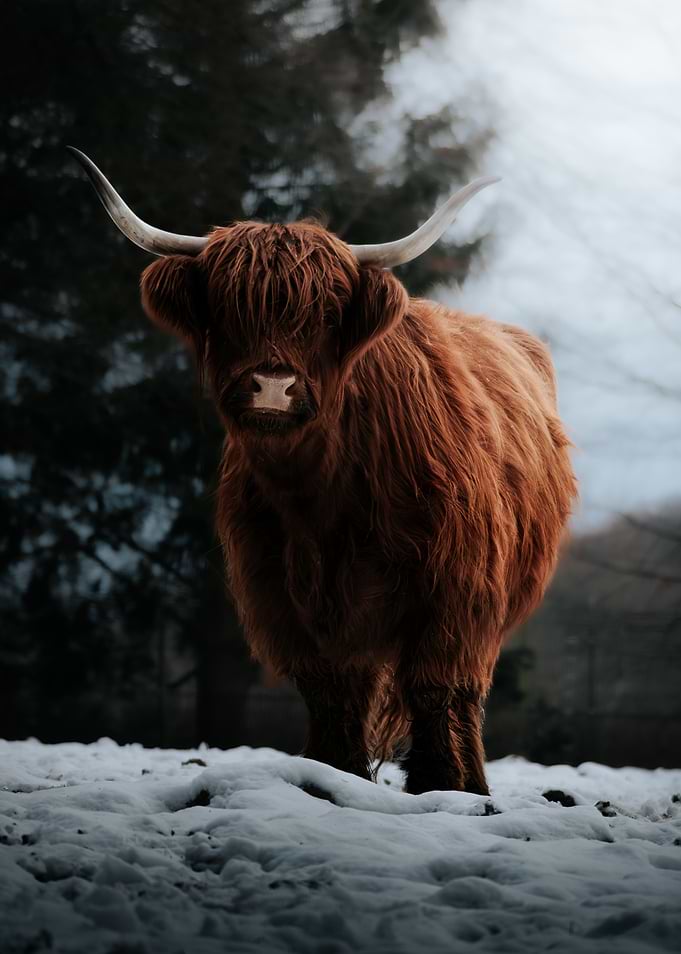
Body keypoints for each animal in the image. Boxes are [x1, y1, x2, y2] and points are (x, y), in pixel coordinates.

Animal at [69, 147, 577, 795]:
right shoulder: (282, 595)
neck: (320, 495)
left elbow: (435, 685)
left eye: (327, 313)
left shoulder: (456, 586)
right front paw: (335, 775)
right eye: (228, 308)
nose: (272, 386)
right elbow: (332, 693)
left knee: (460, 694)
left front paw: (443, 788)